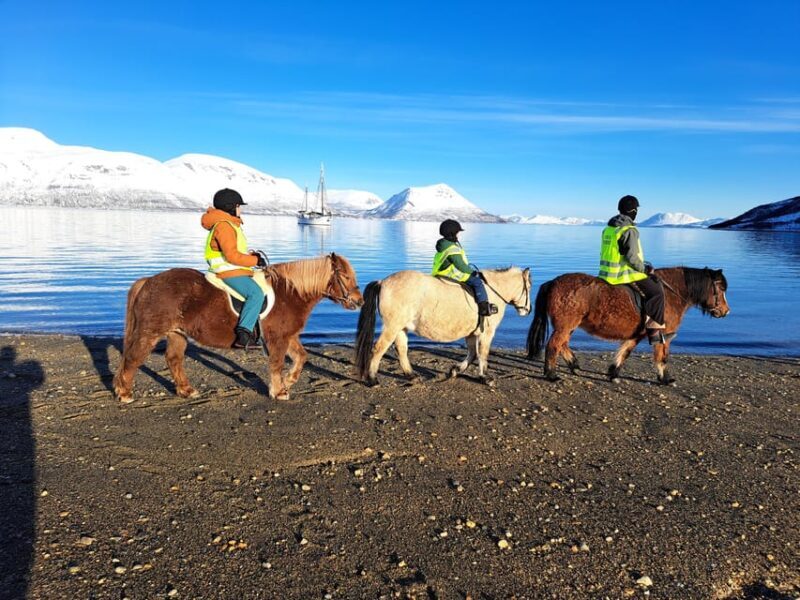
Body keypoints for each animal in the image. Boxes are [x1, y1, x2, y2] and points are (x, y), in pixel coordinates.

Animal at [113, 253, 363, 403]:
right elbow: (277, 364)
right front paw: (279, 390)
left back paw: (186, 390)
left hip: (177, 334)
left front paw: (289, 381)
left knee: (174, 360)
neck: (290, 293)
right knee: (133, 358)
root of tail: (149, 281)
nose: (359, 301)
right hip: (150, 333)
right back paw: (124, 393)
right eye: (345, 276)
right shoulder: (277, 339)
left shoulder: (289, 336)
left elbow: (301, 357)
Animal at [355, 267, 531, 386]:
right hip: (392, 327)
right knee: (378, 349)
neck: (491, 291)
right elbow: (483, 354)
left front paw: (455, 370)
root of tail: (383, 282)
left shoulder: (471, 333)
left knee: (401, 350)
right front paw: (485, 377)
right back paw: (372, 379)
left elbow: (473, 353)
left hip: (400, 328)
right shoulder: (486, 332)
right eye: (528, 288)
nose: (528, 310)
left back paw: (411, 375)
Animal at [525, 267, 730, 385]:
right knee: (554, 345)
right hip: (566, 325)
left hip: (569, 326)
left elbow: (625, 351)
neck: (671, 293)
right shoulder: (664, 334)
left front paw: (613, 373)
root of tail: (553, 282)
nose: (725, 311)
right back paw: (551, 374)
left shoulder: (638, 334)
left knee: (562, 344)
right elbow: (662, 357)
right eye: (720, 288)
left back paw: (574, 365)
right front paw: (665, 379)